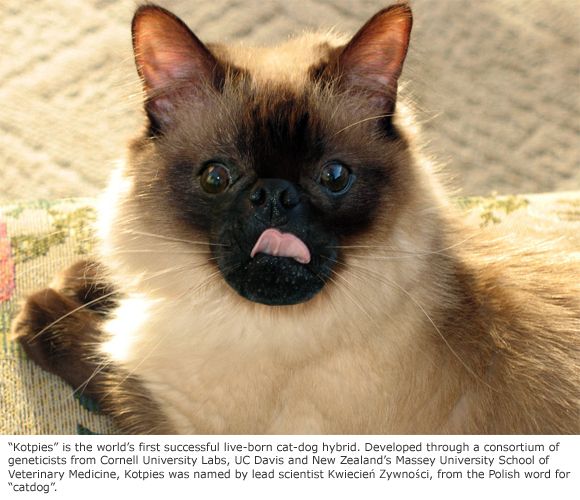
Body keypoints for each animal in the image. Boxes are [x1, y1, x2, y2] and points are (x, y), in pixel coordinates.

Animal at [11, 2, 576, 434]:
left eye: (334, 176)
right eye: (217, 177)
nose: (276, 197)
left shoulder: (188, 422)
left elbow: (105, 366)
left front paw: (41, 311)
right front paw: (82, 280)